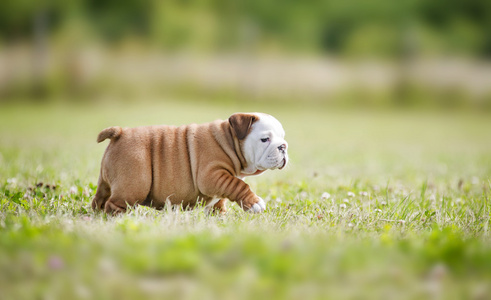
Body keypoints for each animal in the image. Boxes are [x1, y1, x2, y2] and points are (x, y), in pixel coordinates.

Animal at [92, 112, 288, 213]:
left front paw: (218, 217)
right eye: (265, 139)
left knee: (100, 198)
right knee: (115, 204)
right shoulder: (213, 175)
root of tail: (120, 133)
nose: (283, 146)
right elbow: (239, 186)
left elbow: (220, 200)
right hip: (134, 184)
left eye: (283, 137)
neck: (229, 141)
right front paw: (254, 203)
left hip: (106, 182)